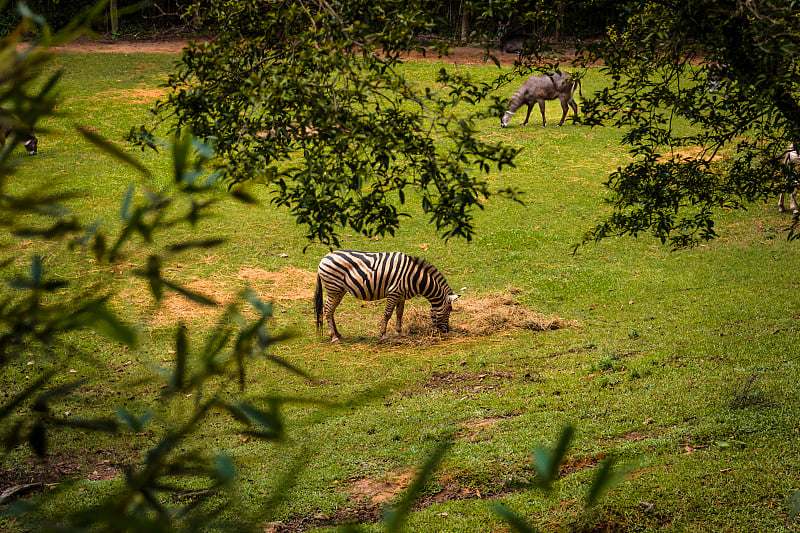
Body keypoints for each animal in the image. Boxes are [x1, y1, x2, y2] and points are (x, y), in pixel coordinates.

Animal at [314, 248, 460, 340]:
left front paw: (400, 333)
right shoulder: (393, 292)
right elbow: (388, 313)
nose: (447, 331)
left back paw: (338, 334)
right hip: (334, 289)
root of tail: (324, 258)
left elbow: (399, 313)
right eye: (450, 310)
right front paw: (383, 334)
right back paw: (333, 337)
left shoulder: (401, 296)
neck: (414, 277)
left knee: (330, 310)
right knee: (328, 309)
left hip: (339, 290)